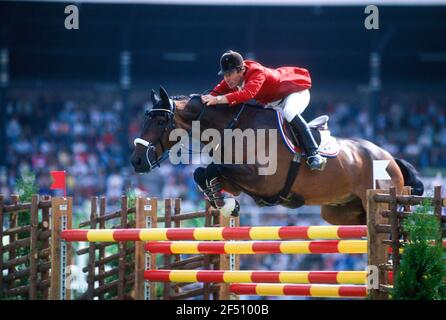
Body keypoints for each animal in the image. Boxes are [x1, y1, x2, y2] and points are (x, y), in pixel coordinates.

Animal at [131, 86, 424, 224]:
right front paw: (226, 204)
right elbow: (203, 173)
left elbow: (212, 169)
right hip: (339, 212)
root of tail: (391, 158)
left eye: (160, 121)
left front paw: (226, 205)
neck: (232, 126)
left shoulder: (262, 180)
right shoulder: (238, 182)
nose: (135, 161)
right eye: (145, 119)